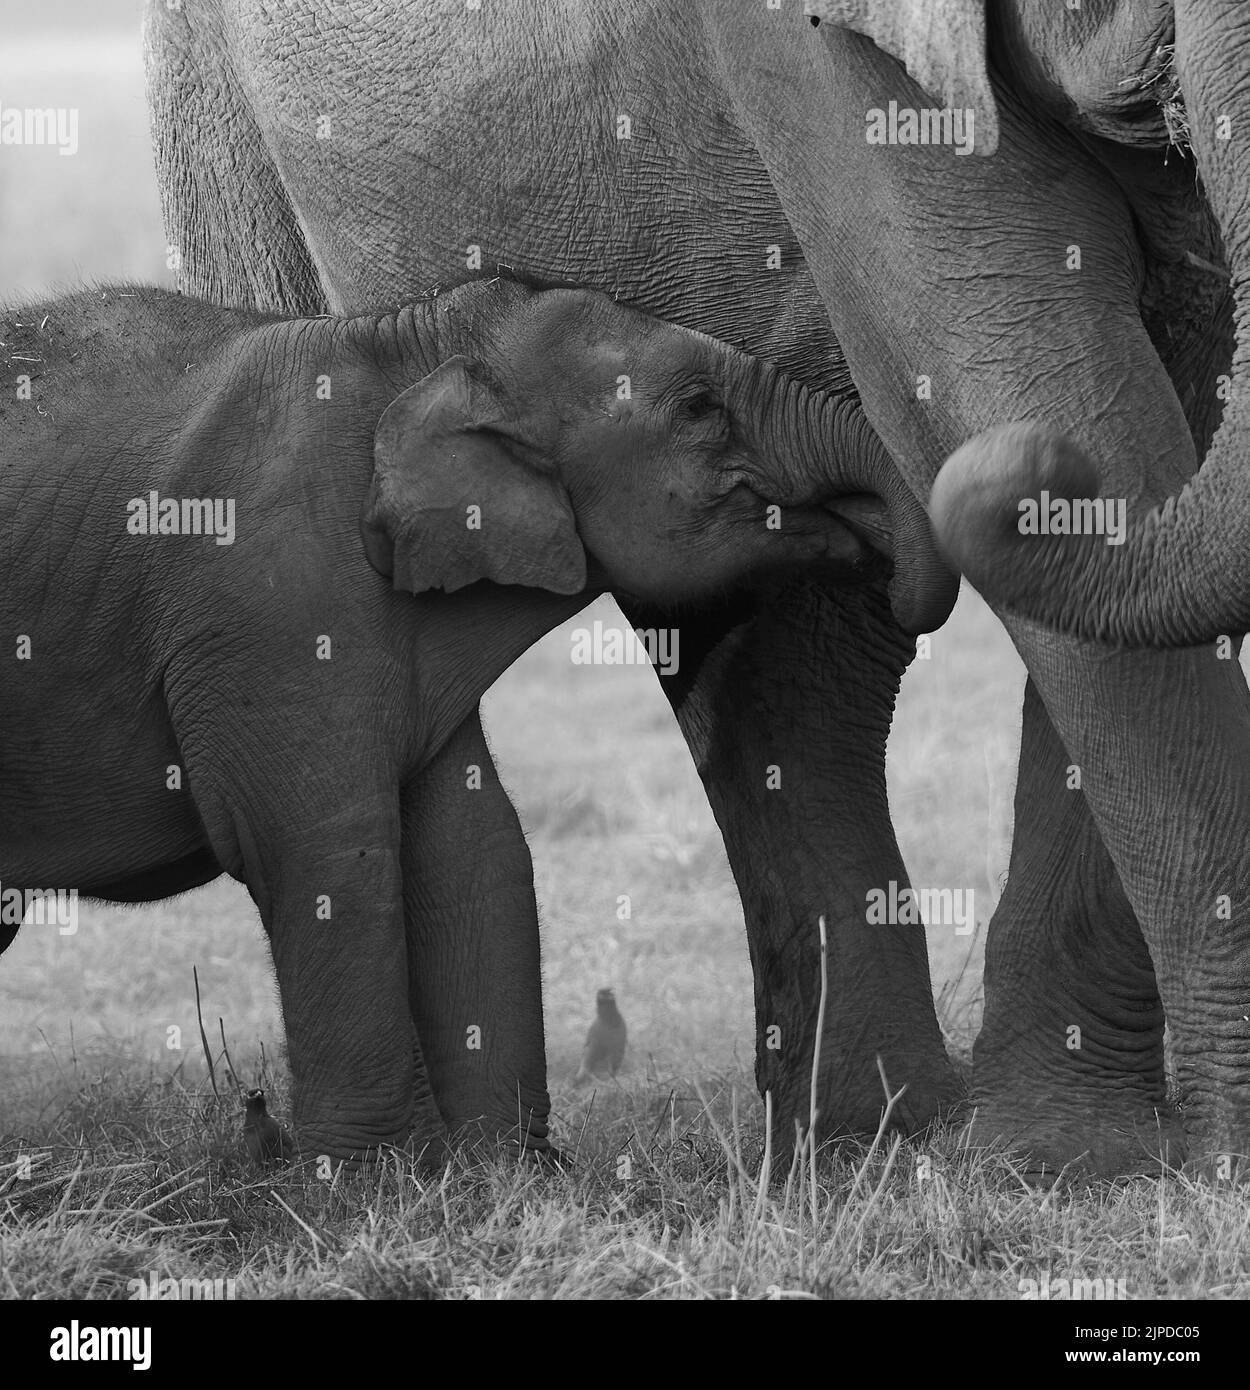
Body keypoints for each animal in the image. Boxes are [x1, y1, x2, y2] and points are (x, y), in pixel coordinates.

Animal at [0, 278, 936, 1160]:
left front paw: (504, 1173)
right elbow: (323, 846)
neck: (409, 349)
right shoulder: (263, 610)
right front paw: (376, 1178)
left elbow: (473, 843)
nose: (891, 569)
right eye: (702, 405)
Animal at [143, 0, 1250, 1173]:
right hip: (221, 137)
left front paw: (1075, 1158)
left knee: (796, 662)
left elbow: (1174, 383)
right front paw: (1106, 1160)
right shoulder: (803, 50)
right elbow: (1016, 376)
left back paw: (865, 1137)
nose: (1008, 487)